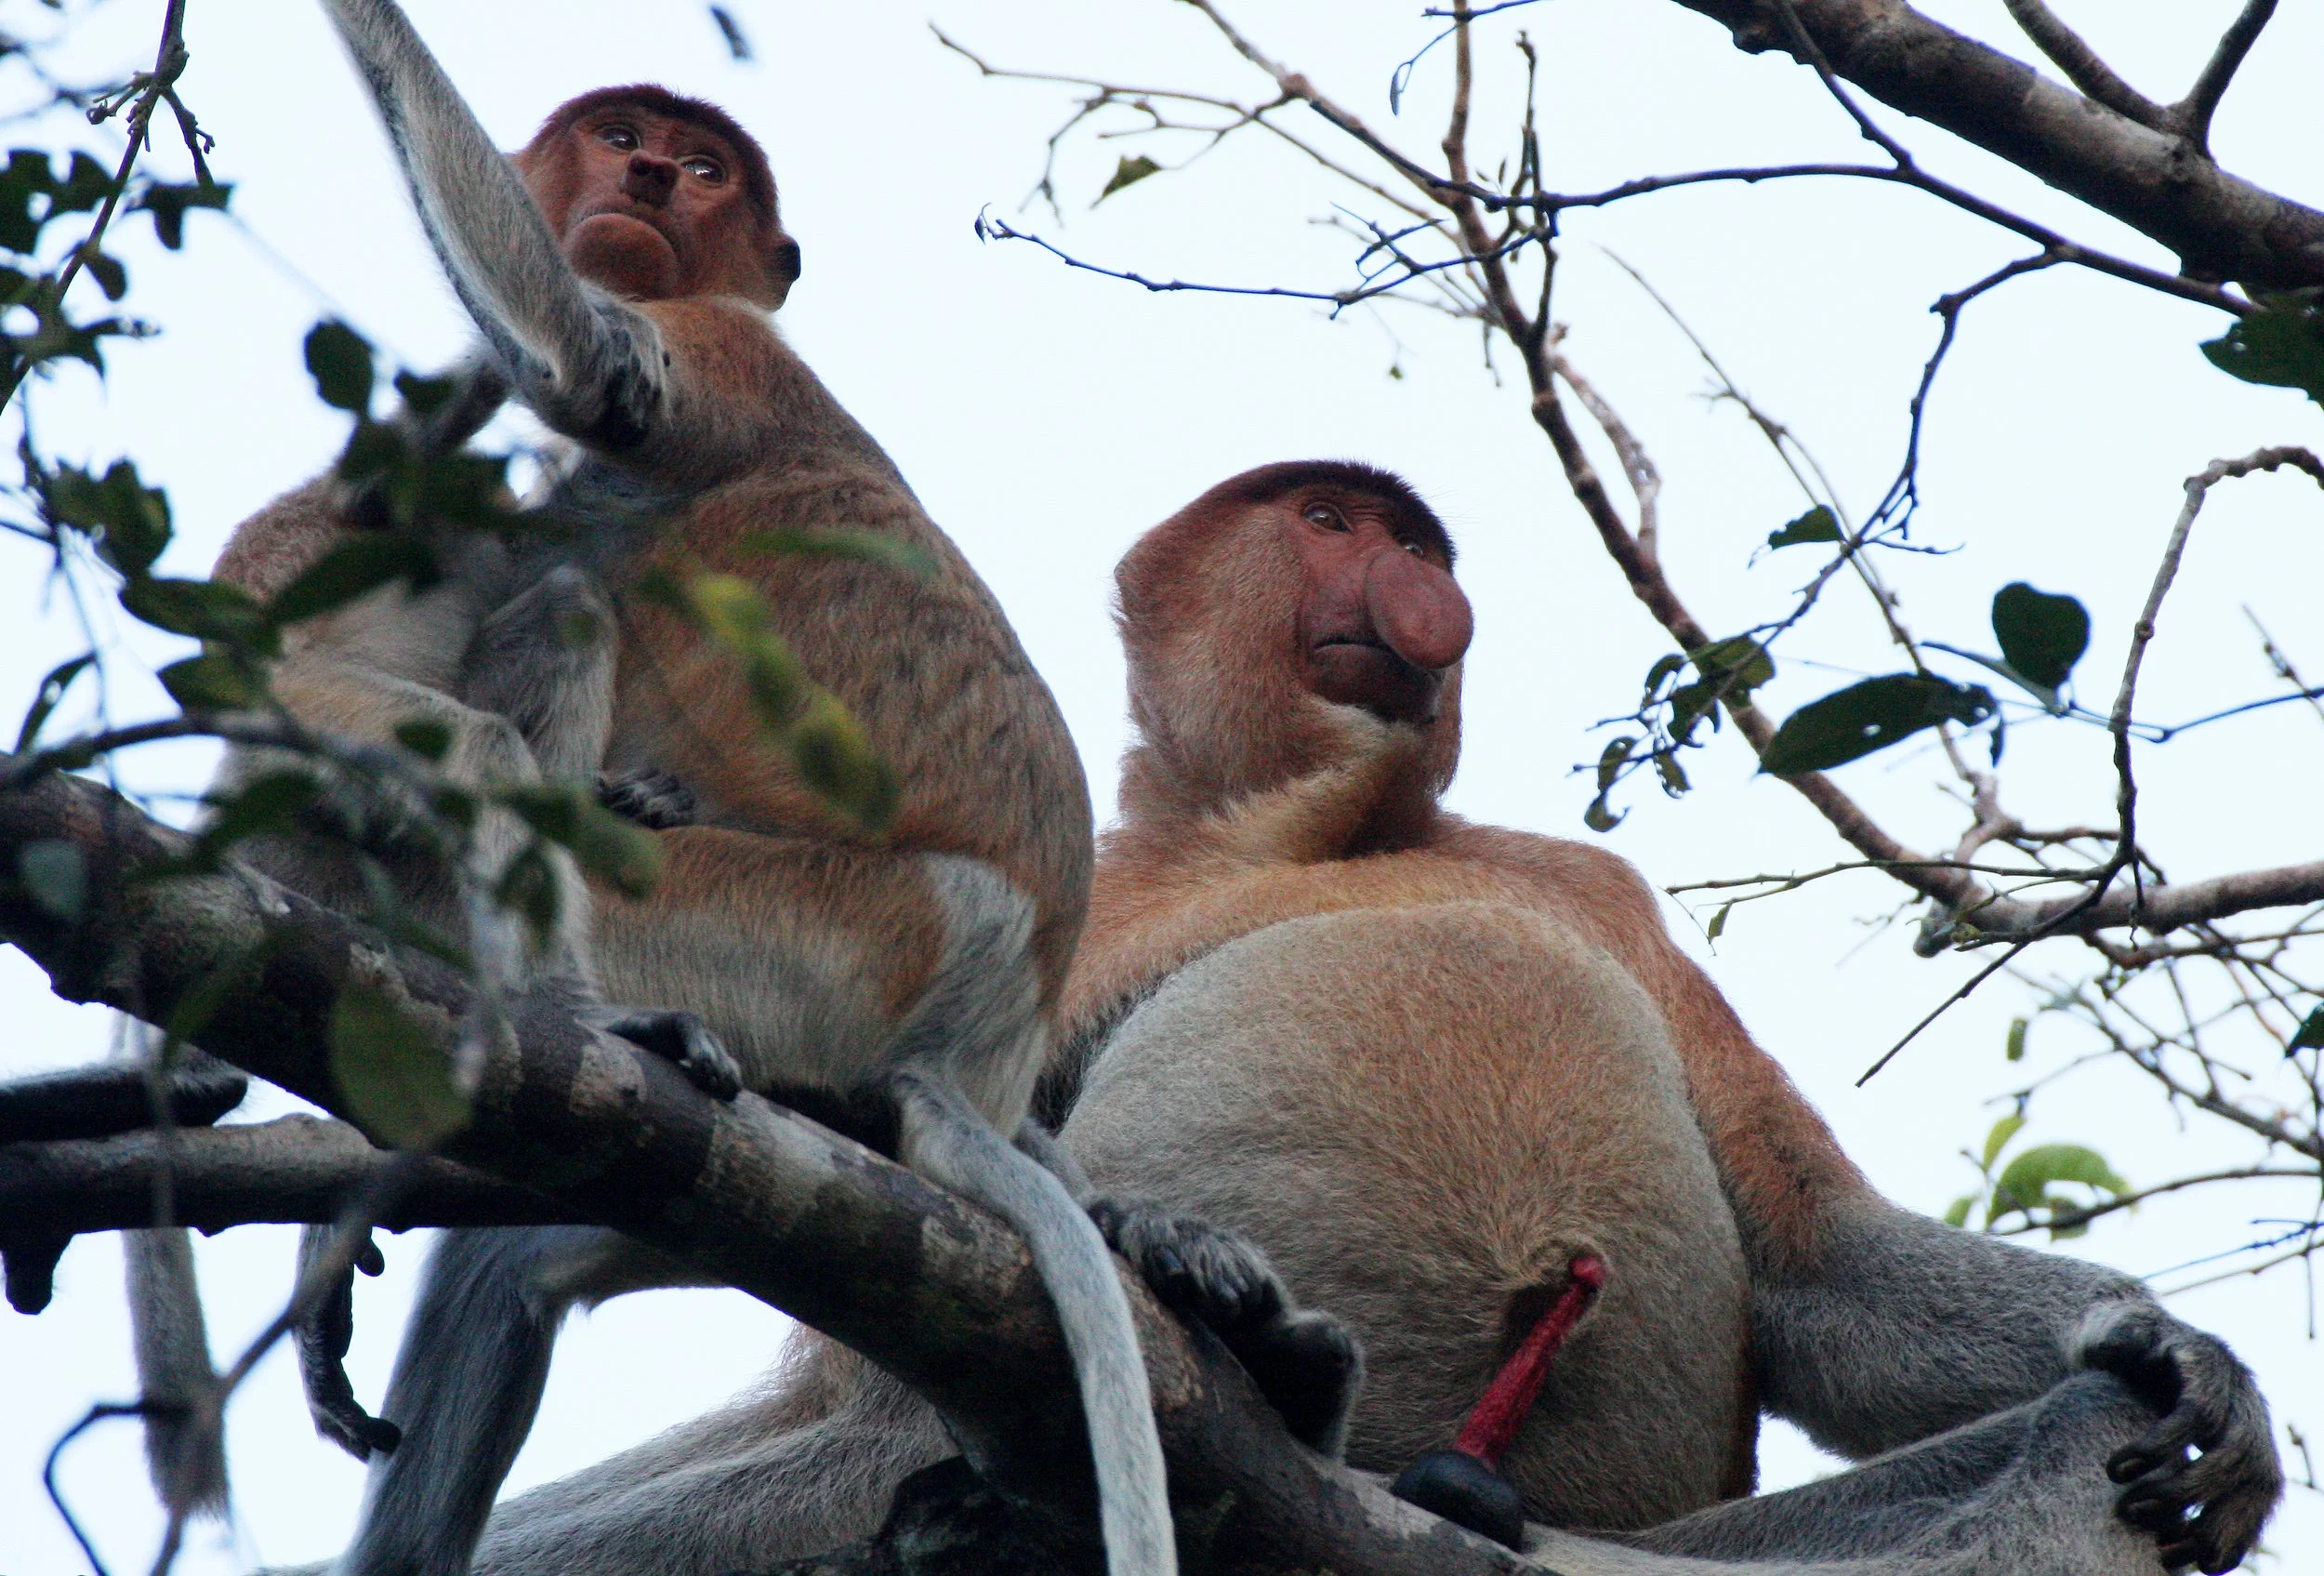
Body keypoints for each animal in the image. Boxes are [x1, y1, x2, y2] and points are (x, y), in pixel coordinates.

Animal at [453, 460, 2279, 1576]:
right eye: (1328, 517)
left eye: (1412, 541)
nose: (1415, 585)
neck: (1308, 831)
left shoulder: (1594, 896)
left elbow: (1815, 1259)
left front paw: (2200, 1372)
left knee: (2092, 1444)